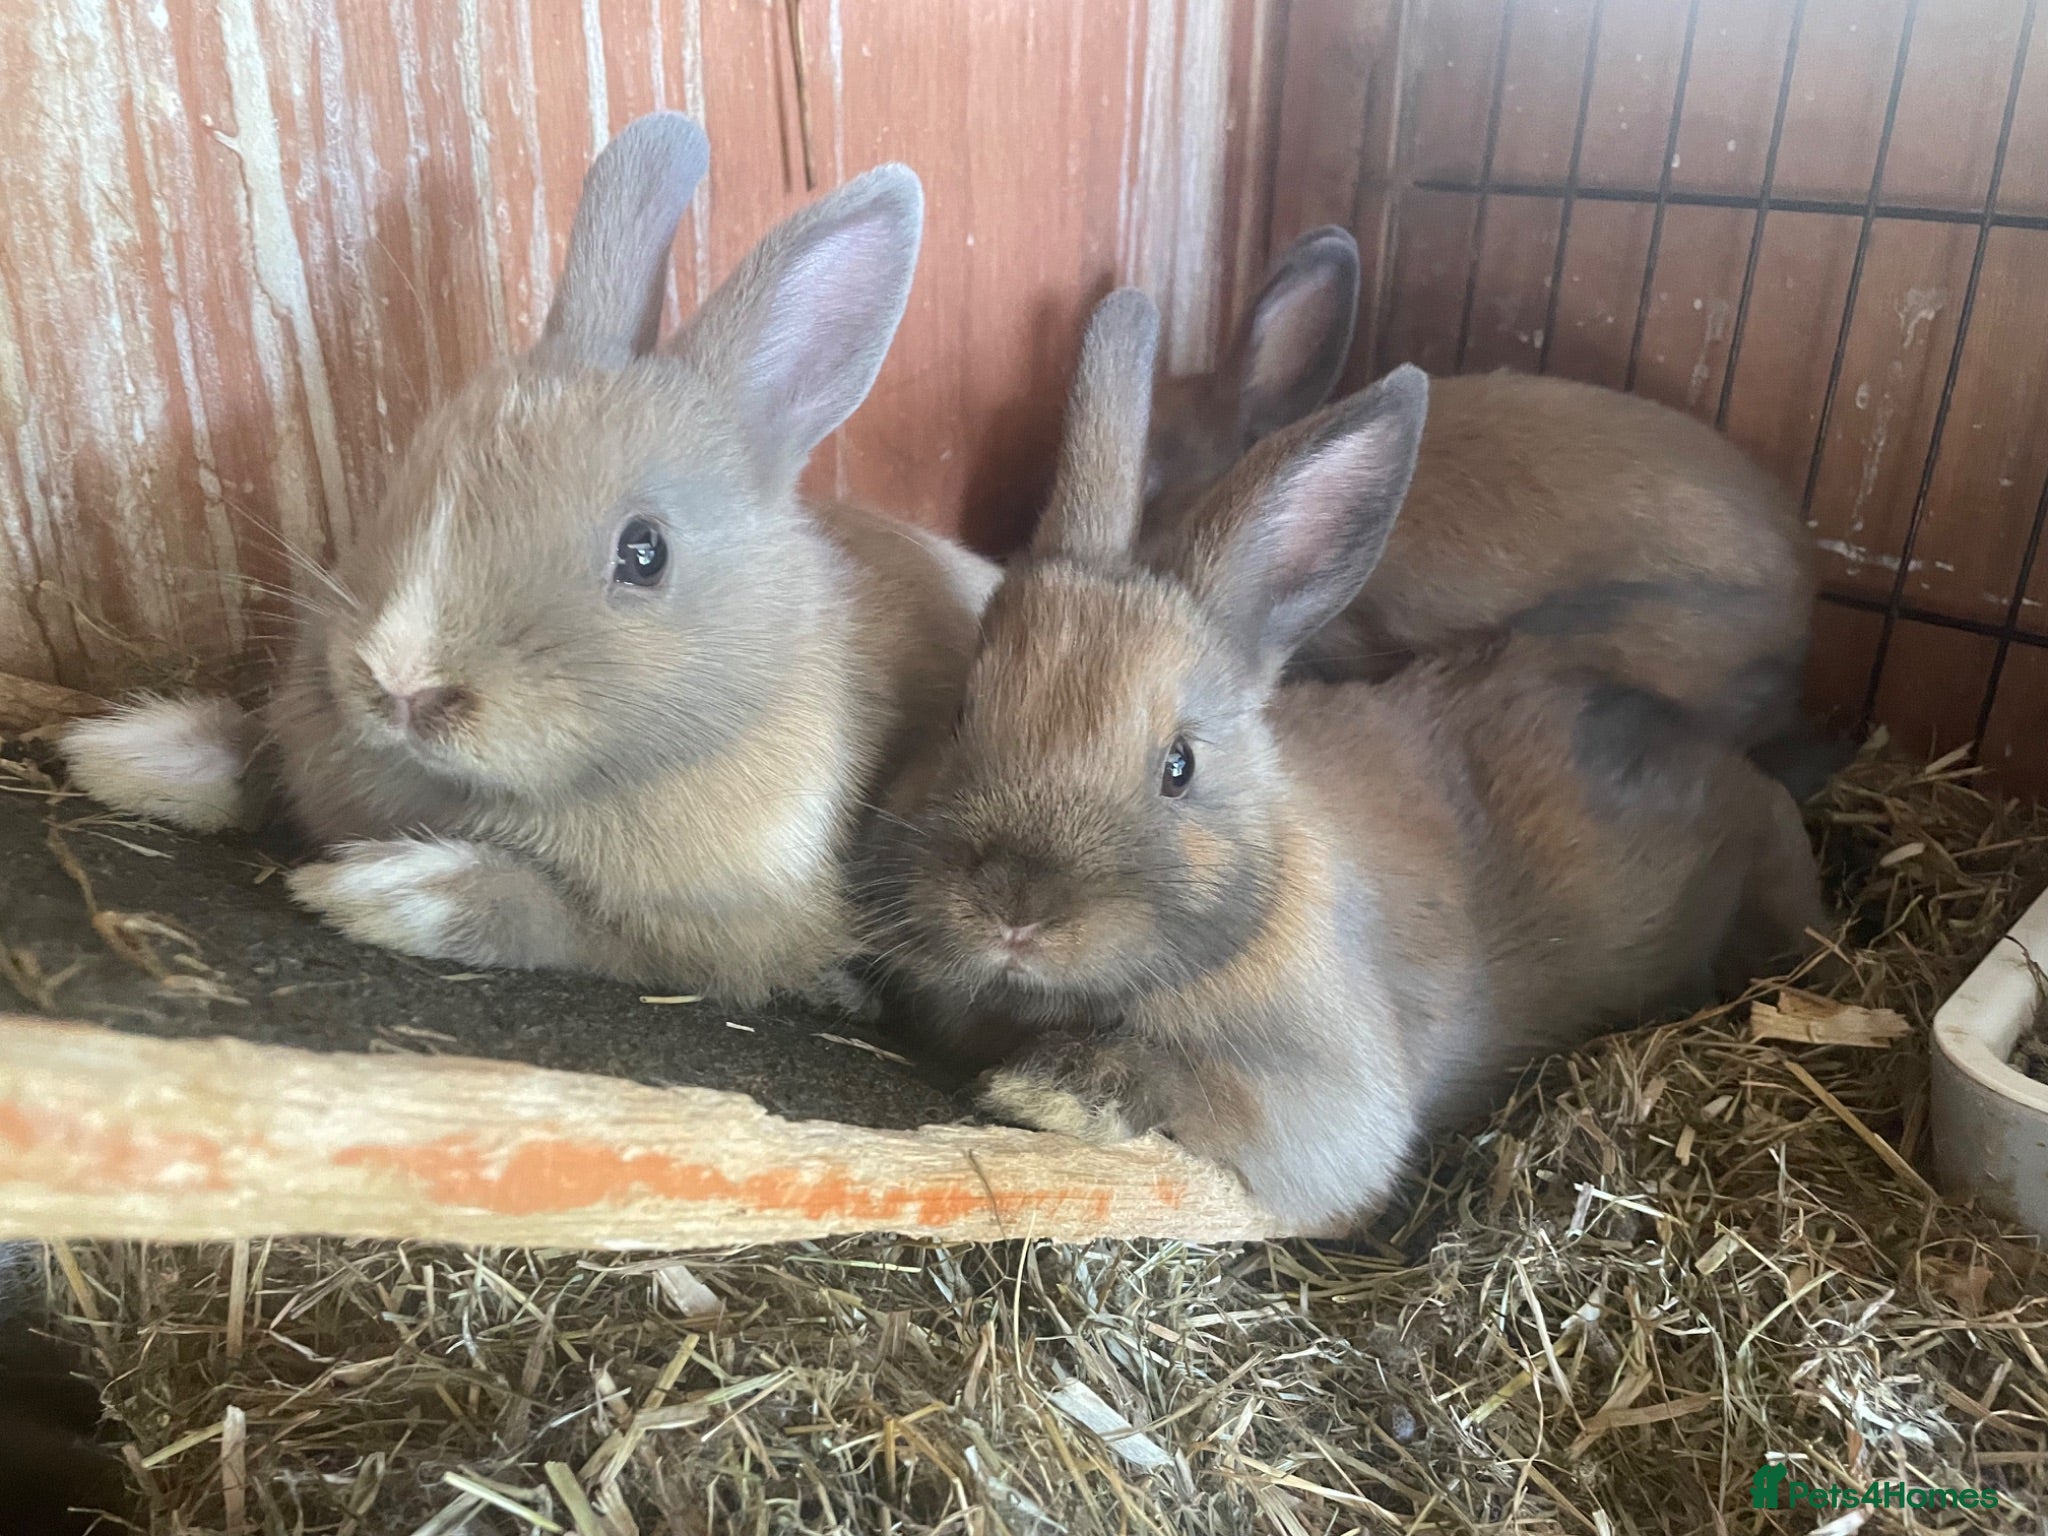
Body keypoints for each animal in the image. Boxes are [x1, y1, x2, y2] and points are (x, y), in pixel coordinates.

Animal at [60, 111, 997, 1008]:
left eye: (645, 552)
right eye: (412, 469)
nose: (402, 684)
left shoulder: (720, 939)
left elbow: (559, 918)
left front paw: (381, 891)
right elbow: (257, 752)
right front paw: (127, 752)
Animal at [860, 289, 1827, 1228]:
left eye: (1180, 766)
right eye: (960, 714)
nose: (1014, 909)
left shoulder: (1327, 1101)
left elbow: (1219, 1092)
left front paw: (1050, 1091)